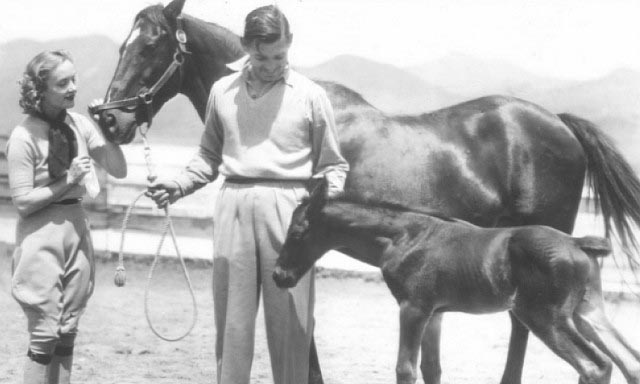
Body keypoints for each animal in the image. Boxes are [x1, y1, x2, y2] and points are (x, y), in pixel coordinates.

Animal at [272, 180, 640, 384]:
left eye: (298, 231)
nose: (279, 275)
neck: (404, 236)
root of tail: (578, 243)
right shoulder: (435, 314)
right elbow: (431, 368)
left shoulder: (413, 308)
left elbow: (406, 369)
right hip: (587, 312)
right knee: (628, 362)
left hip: (544, 317)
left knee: (595, 366)